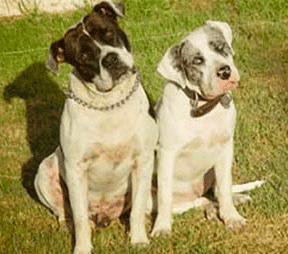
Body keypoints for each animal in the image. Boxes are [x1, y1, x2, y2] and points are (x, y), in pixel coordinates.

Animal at [35, 0, 159, 253]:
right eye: (83, 55)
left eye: (109, 34)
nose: (110, 59)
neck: (109, 104)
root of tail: (104, 216)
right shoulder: (75, 168)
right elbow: (81, 218)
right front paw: (82, 248)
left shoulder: (142, 160)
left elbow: (137, 209)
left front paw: (138, 240)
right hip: (44, 171)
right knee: (64, 211)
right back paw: (67, 223)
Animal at [152, 20, 264, 236]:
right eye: (197, 60)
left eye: (220, 47)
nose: (224, 72)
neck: (203, 106)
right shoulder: (166, 154)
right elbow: (164, 196)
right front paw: (161, 227)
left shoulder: (225, 149)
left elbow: (225, 187)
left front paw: (232, 217)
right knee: (197, 201)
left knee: (215, 192)